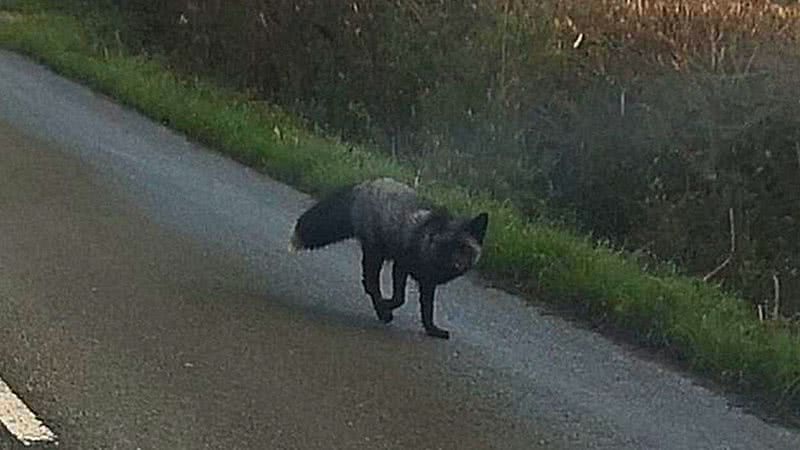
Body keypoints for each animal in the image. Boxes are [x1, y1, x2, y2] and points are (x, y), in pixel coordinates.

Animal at [288, 178, 488, 340]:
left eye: (465, 249)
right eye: (447, 246)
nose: (456, 265)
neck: (427, 243)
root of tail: (365, 184)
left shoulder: (428, 283)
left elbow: (427, 310)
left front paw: (432, 330)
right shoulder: (401, 266)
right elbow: (400, 298)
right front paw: (387, 306)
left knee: (368, 283)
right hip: (375, 254)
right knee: (370, 283)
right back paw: (382, 311)